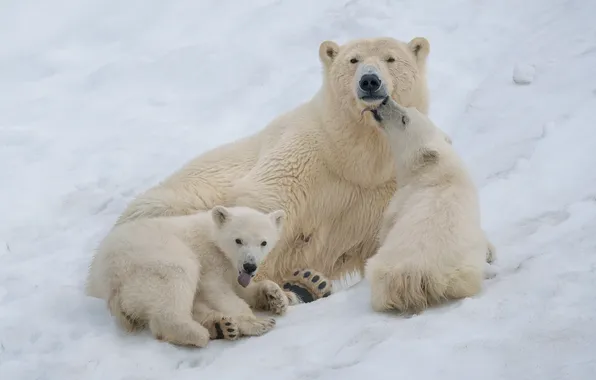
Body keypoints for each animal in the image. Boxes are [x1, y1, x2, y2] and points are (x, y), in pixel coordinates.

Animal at [86, 206, 288, 346]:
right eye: (238, 240)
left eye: (263, 242)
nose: (249, 266)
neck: (213, 236)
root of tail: (109, 280)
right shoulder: (209, 260)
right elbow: (218, 290)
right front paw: (257, 323)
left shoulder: (234, 270)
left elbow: (241, 288)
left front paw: (275, 297)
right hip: (151, 258)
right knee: (178, 276)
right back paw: (197, 333)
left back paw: (220, 326)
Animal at [108, 36, 434, 302]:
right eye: (353, 60)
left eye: (391, 59)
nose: (369, 81)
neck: (353, 155)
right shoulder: (306, 150)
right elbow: (266, 198)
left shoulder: (384, 187)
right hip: (165, 209)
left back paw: (310, 284)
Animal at [366, 98, 492, 314]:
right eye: (410, 109)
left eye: (405, 119)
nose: (384, 100)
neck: (438, 171)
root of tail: (418, 274)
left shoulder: (401, 200)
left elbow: (385, 228)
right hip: (464, 272)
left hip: (384, 270)